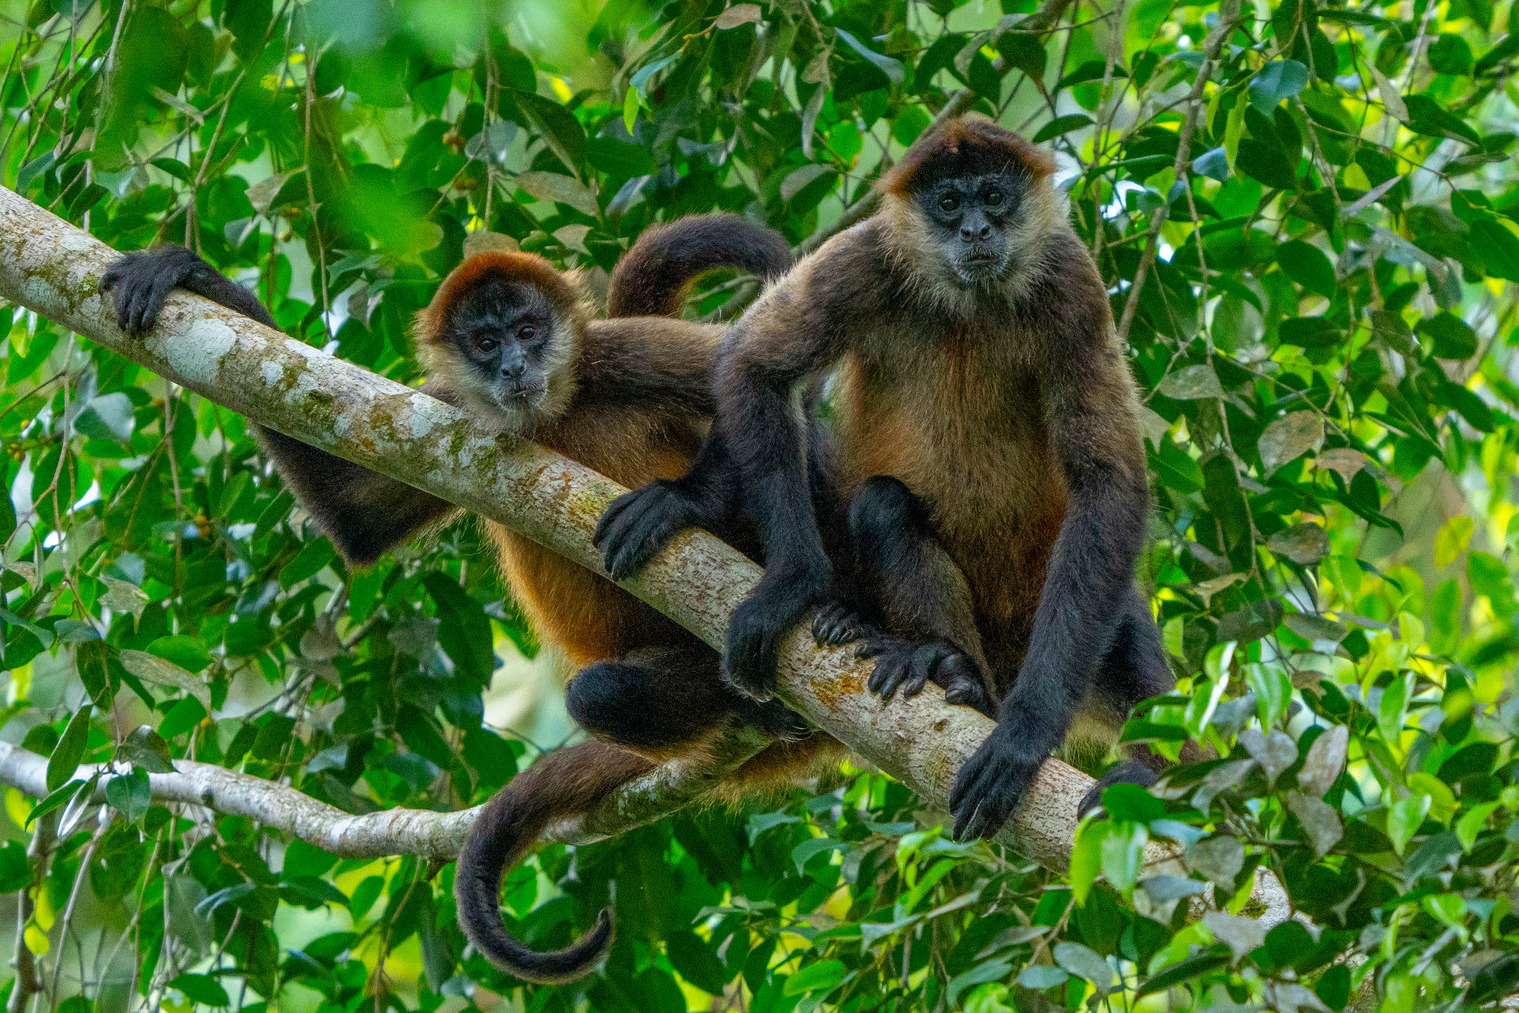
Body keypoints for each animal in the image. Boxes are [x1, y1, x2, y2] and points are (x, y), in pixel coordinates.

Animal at [99, 215, 848, 983]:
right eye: (485, 344)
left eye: (527, 329)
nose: (514, 367)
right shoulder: (451, 407)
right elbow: (356, 520)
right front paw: (190, 274)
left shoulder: (613, 349)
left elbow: (776, 388)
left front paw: (680, 500)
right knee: (599, 693)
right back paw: (755, 708)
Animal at [596, 117, 1176, 845]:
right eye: (948, 205)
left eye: (994, 195)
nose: (975, 230)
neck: (968, 302)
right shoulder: (865, 255)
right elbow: (752, 365)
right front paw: (783, 579)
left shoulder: (1071, 280)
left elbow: (1108, 483)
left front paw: (1025, 733)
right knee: (880, 504)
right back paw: (949, 666)